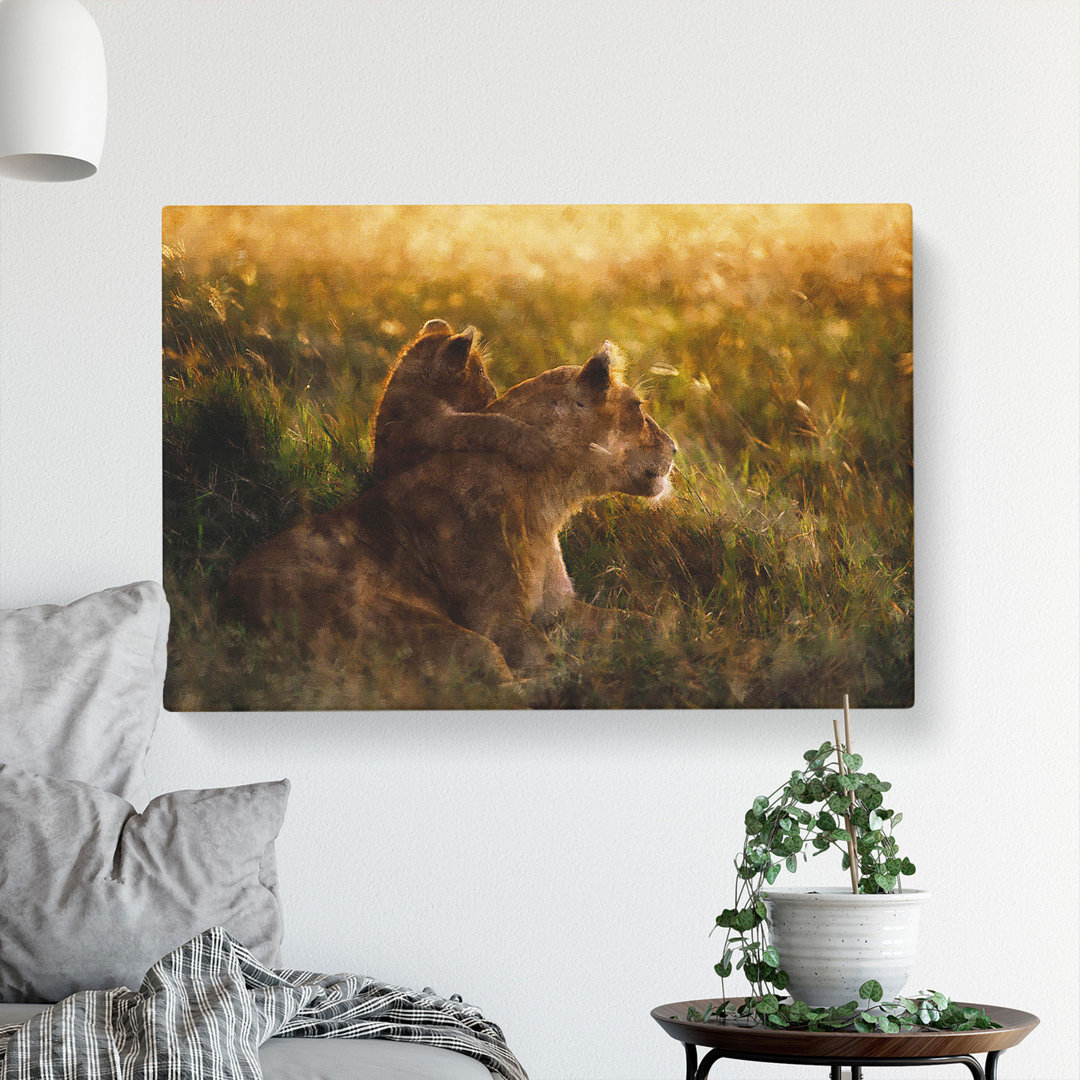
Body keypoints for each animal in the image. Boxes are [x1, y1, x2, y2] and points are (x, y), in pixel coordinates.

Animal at [224, 341, 676, 680]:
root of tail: (232, 595)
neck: (548, 500)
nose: (674, 448)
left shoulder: (559, 609)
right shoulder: (498, 619)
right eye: (638, 407)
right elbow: (558, 662)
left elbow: (647, 622)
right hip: (415, 625)